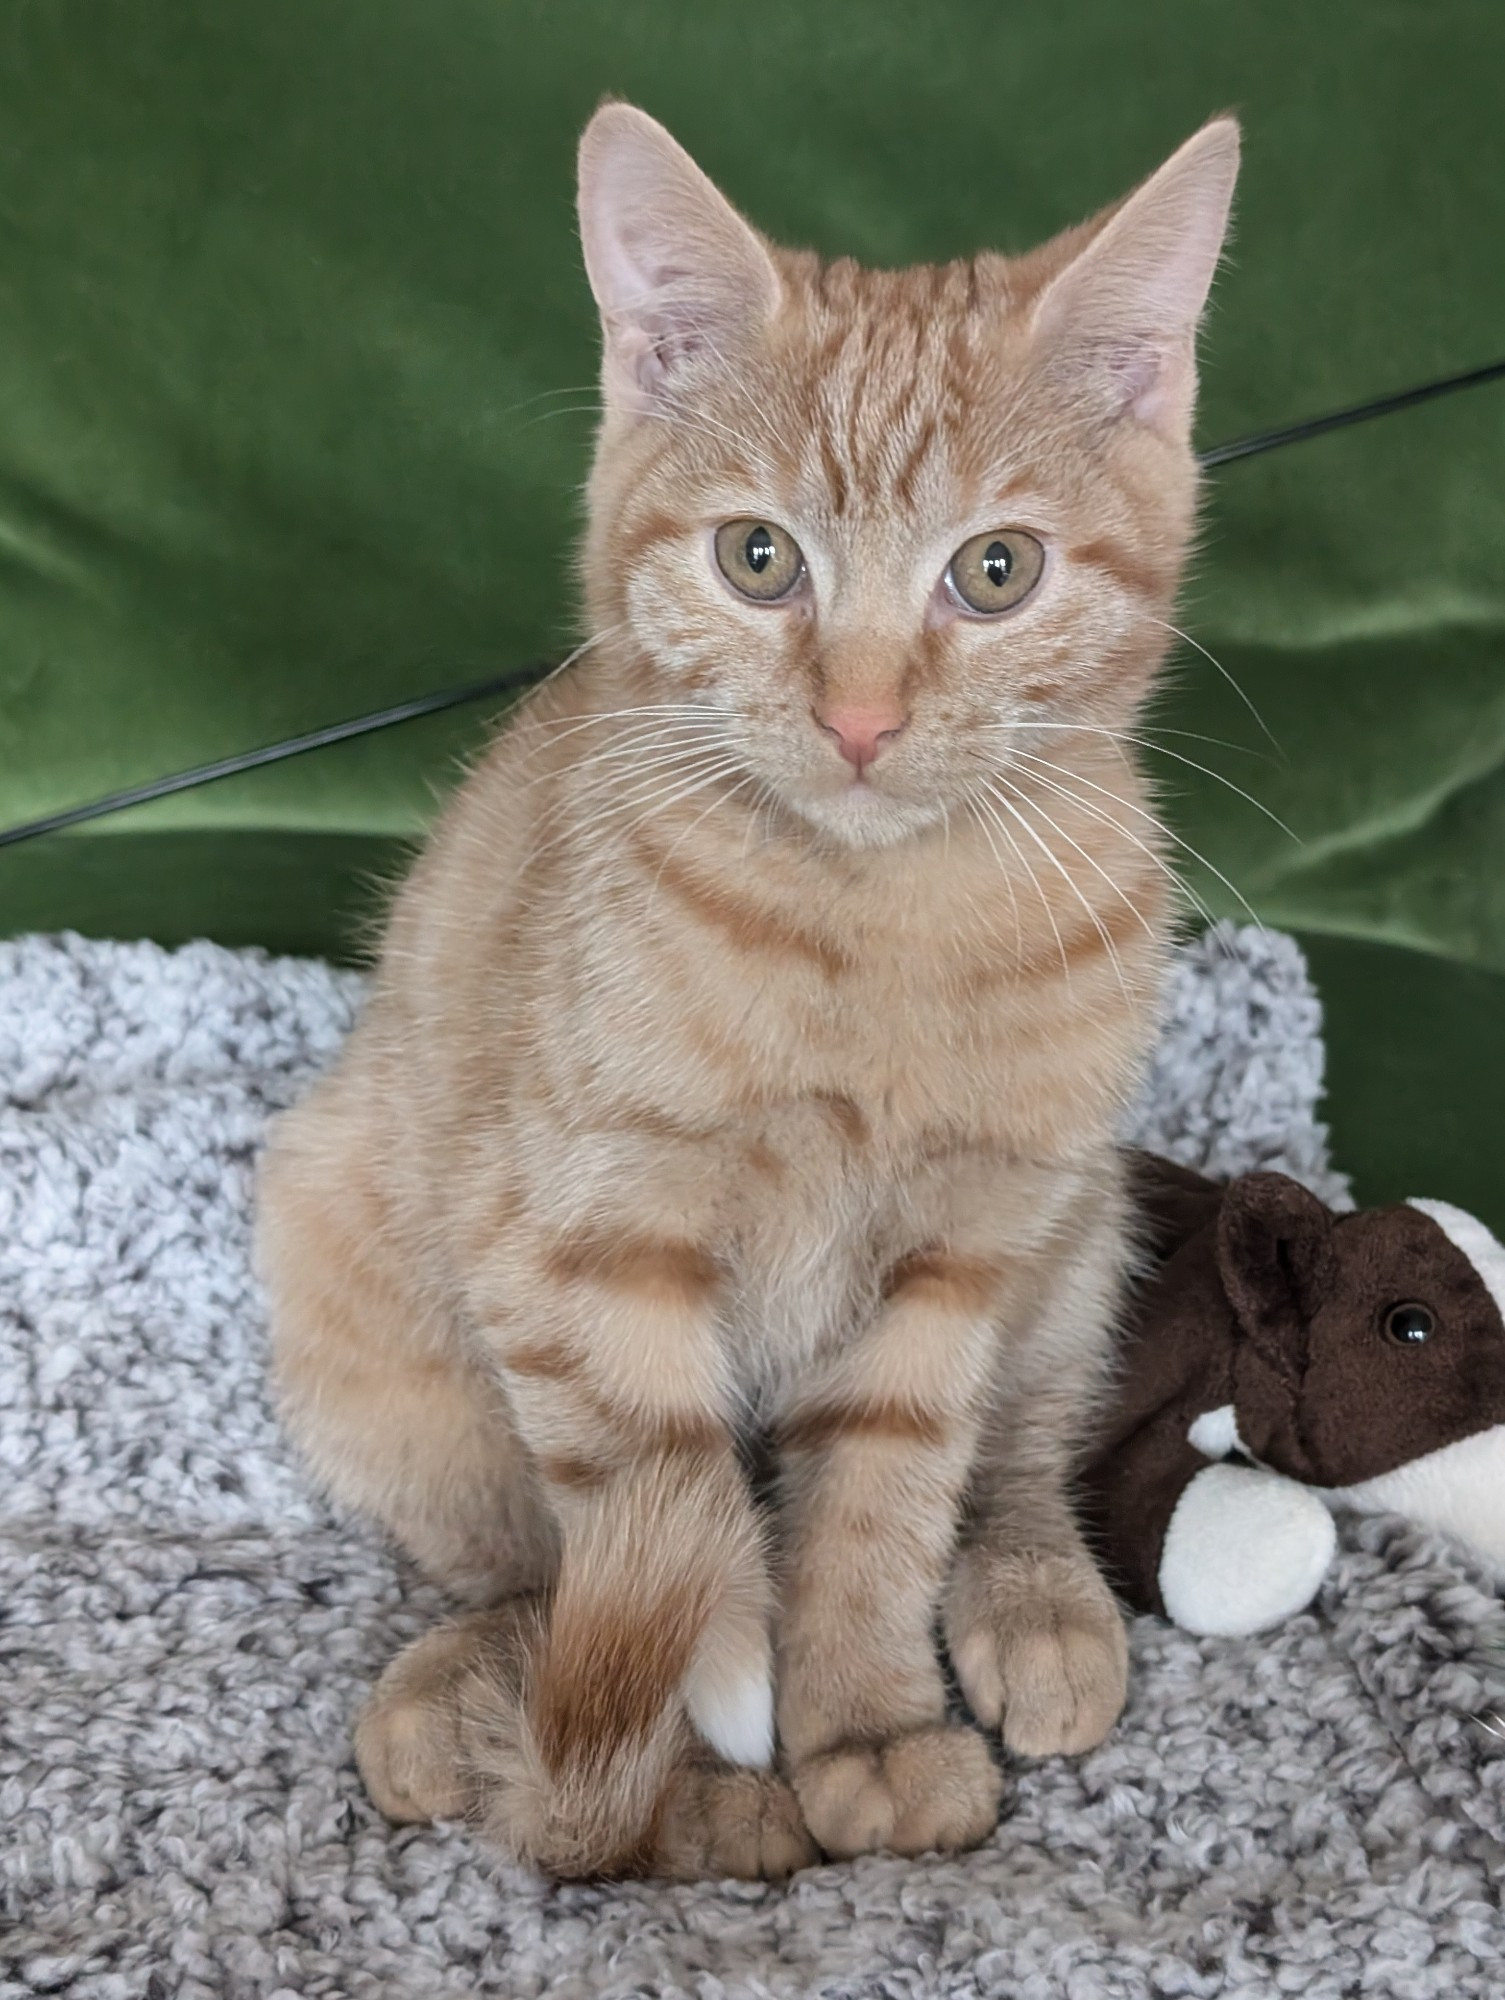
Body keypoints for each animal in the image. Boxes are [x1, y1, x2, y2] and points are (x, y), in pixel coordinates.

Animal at [258, 97, 1240, 1872]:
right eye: (759, 558)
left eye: (997, 571)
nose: (858, 717)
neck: (877, 929)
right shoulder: (578, 1253)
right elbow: (673, 1520)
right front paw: (703, 1775)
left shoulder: (952, 1263)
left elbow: (884, 1502)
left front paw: (865, 1729)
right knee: (527, 1566)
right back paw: (478, 1697)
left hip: (1073, 1230)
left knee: (1023, 1445)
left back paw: (1036, 1596)